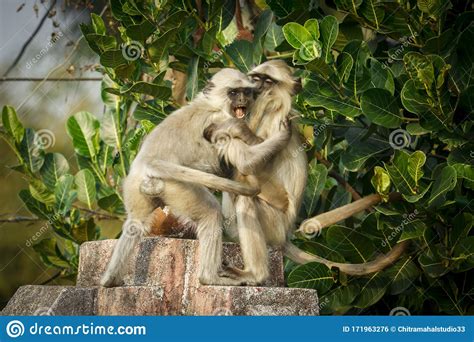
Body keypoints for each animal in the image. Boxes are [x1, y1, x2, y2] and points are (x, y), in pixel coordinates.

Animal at [101, 68, 290, 288]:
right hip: (176, 187)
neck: (212, 104)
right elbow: (246, 161)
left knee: (135, 224)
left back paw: (110, 280)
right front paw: (283, 136)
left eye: (245, 91)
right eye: (234, 92)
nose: (243, 99)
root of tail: (146, 162)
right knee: (211, 213)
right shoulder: (221, 122)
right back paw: (210, 278)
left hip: (135, 188)